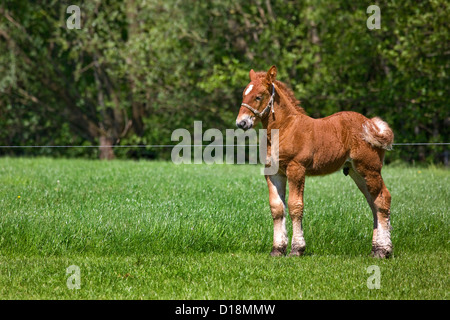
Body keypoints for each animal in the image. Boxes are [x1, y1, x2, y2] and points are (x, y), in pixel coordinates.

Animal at [236, 66, 394, 258]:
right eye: (244, 94)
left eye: (258, 96)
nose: (241, 123)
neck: (285, 129)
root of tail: (371, 125)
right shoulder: (273, 173)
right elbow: (277, 208)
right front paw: (277, 249)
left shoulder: (296, 169)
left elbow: (295, 206)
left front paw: (297, 249)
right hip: (356, 172)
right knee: (373, 203)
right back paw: (376, 249)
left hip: (370, 168)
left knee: (382, 200)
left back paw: (383, 251)